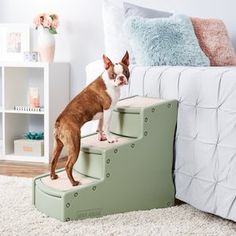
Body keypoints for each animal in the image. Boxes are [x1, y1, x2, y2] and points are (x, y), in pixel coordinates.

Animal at [50, 51, 130, 186]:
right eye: (113, 75)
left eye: (125, 72)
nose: (121, 78)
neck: (110, 84)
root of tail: (58, 121)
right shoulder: (108, 110)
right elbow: (106, 126)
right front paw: (110, 139)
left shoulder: (103, 113)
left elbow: (100, 126)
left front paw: (101, 137)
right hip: (74, 144)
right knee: (68, 166)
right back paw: (74, 183)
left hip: (58, 145)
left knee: (53, 160)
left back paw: (53, 176)